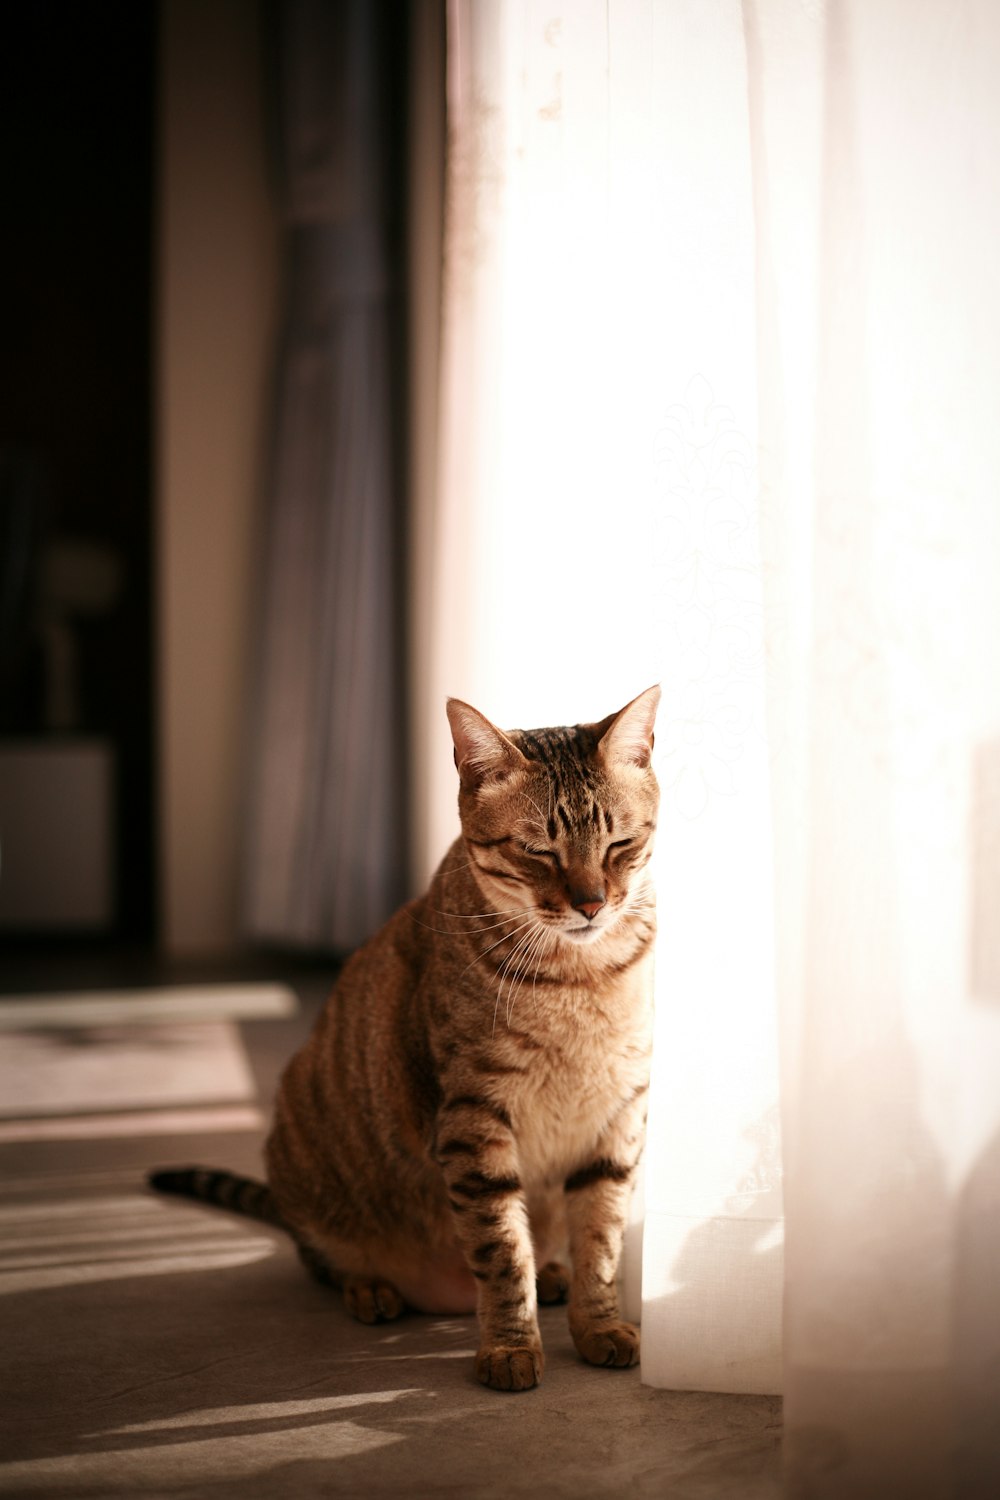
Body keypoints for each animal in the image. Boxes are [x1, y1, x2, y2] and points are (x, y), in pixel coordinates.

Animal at [152, 690, 659, 1392]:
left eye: (620, 843)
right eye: (538, 851)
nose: (591, 903)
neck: (581, 978)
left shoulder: (619, 1119)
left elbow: (602, 1245)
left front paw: (599, 1325)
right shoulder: (474, 1121)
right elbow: (503, 1252)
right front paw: (510, 1344)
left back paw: (551, 1275)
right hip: (308, 1160)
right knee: (324, 1259)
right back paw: (371, 1288)